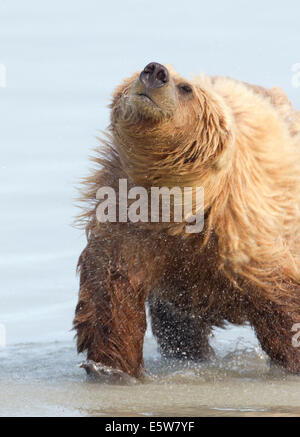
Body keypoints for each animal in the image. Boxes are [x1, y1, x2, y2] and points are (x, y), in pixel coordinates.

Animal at [74, 62, 300, 378]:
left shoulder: (244, 233)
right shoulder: (125, 224)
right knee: (179, 327)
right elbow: (111, 298)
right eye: (140, 71)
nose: (155, 70)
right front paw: (112, 368)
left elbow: (282, 302)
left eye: (186, 88)